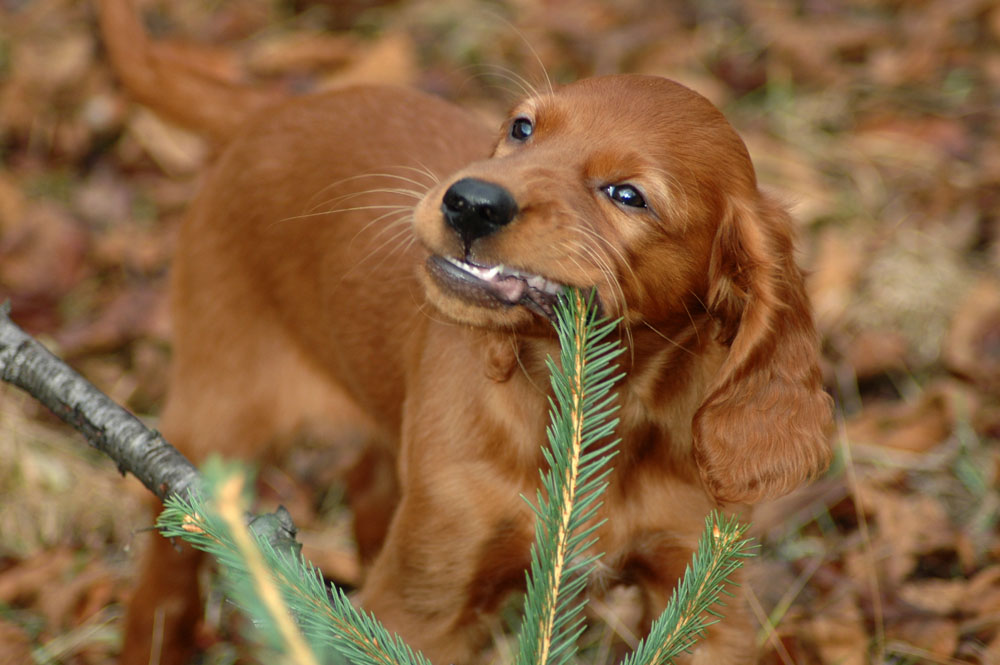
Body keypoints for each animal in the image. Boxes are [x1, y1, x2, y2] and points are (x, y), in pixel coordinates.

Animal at [99, 2, 836, 660]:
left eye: (628, 196)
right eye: (522, 128)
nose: (470, 202)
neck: (594, 411)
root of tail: (273, 110)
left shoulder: (702, 592)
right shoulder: (422, 606)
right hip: (221, 406)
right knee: (171, 556)